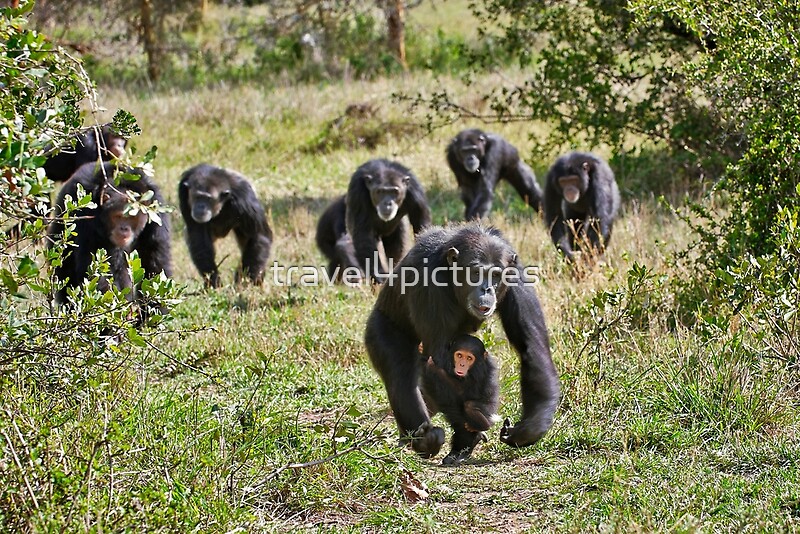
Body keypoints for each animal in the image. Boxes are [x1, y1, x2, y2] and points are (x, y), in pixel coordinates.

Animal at [48, 161, 172, 308]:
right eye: (118, 216)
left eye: (132, 218)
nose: (124, 228)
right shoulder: (87, 215)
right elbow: (98, 269)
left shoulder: (157, 212)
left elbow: (155, 264)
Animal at [422, 336, 496, 464]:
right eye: (459, 355)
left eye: (469, 358)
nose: (461, 364)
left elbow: (463, 390)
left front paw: (431, 365)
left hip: (488, 412)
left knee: (469, 406)